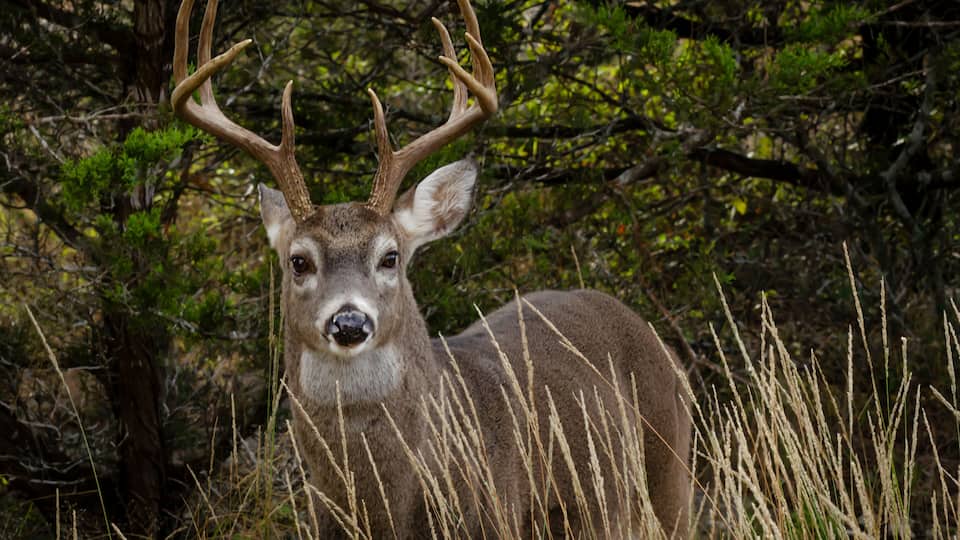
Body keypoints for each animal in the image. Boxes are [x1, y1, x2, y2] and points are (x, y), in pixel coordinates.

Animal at [172, 0, 691, 537]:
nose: (349, 321)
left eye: (390, 256)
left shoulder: (498, 516)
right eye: (299, 260)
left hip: (670, 479)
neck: (386, 509)